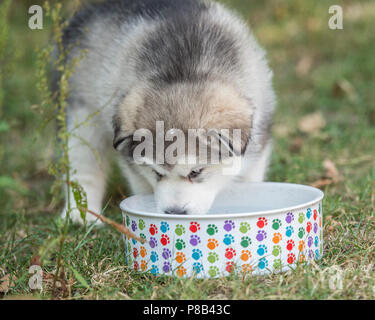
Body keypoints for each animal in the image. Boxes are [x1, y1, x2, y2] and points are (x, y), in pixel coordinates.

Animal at [59, 0, 276, 224]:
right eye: (156, 172)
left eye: (195, 172)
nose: (175, 213)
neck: (187, 71)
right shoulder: (134, 166)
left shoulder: (257, 144)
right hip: (83, 116)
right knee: (83, 165)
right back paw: (81, 214)